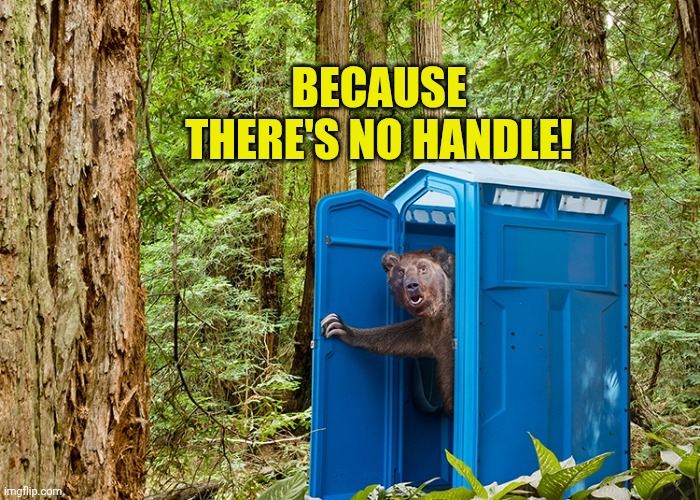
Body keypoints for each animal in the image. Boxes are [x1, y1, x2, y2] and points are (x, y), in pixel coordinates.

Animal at [321, 246, 455, 415]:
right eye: (401, 272)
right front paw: (340, 327)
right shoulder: (431, 329)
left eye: (423, 268)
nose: (412, 285)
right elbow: (407, 339)